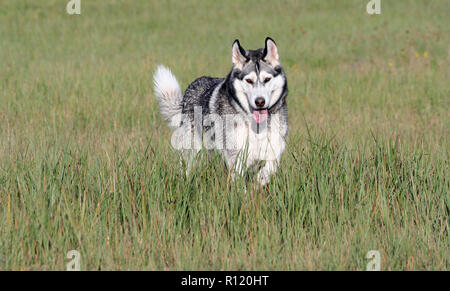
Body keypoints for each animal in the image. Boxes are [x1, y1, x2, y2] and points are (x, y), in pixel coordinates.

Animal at [154, 37, 288, 186]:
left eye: (267, 79)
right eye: (249, 80)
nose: (260, 102)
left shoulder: (274, 148)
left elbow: (271, 166)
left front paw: (259, 181)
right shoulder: (236, 156)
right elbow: (239, 182)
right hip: (193, 150)